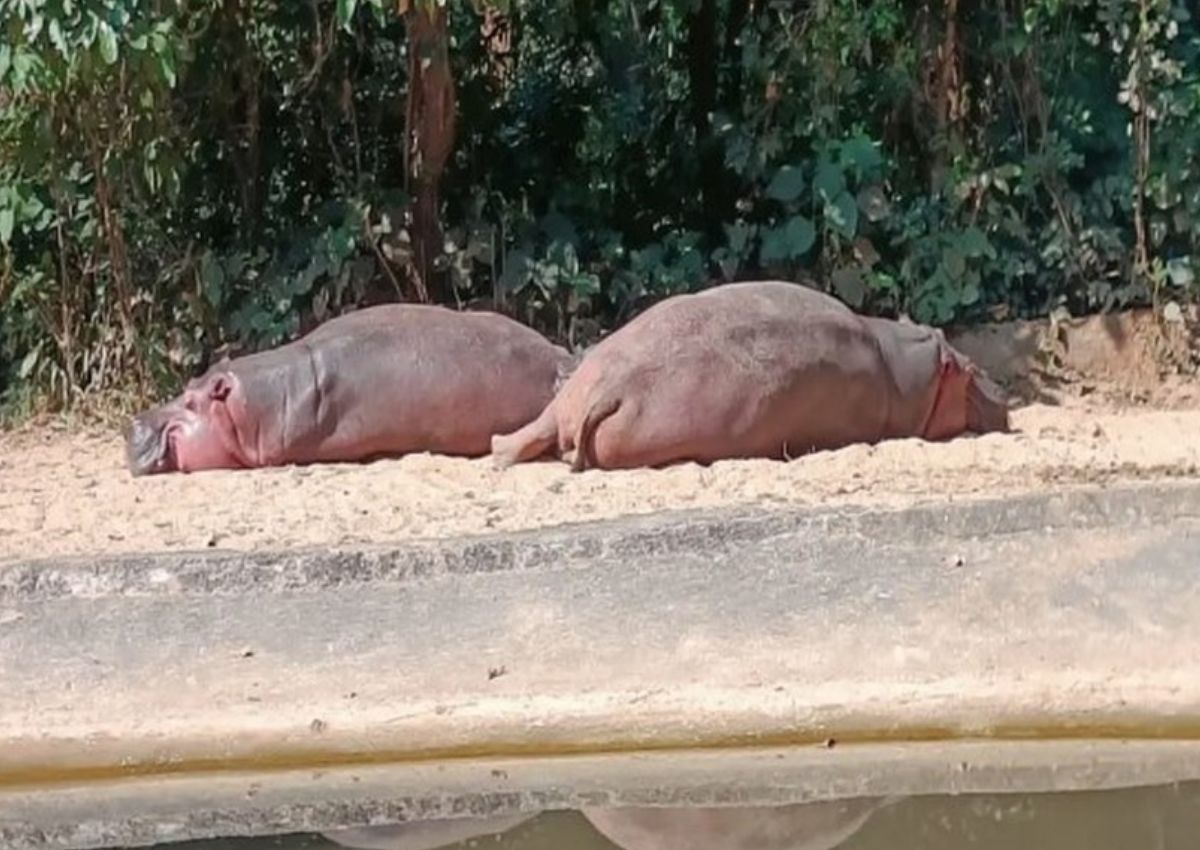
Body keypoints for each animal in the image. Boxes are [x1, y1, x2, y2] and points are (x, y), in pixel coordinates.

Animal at [492, 283, 1008, 470]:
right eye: (971, 370)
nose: (1004, 391)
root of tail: (610, 387)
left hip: (575, 394)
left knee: (527, 434)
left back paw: (501, 452)